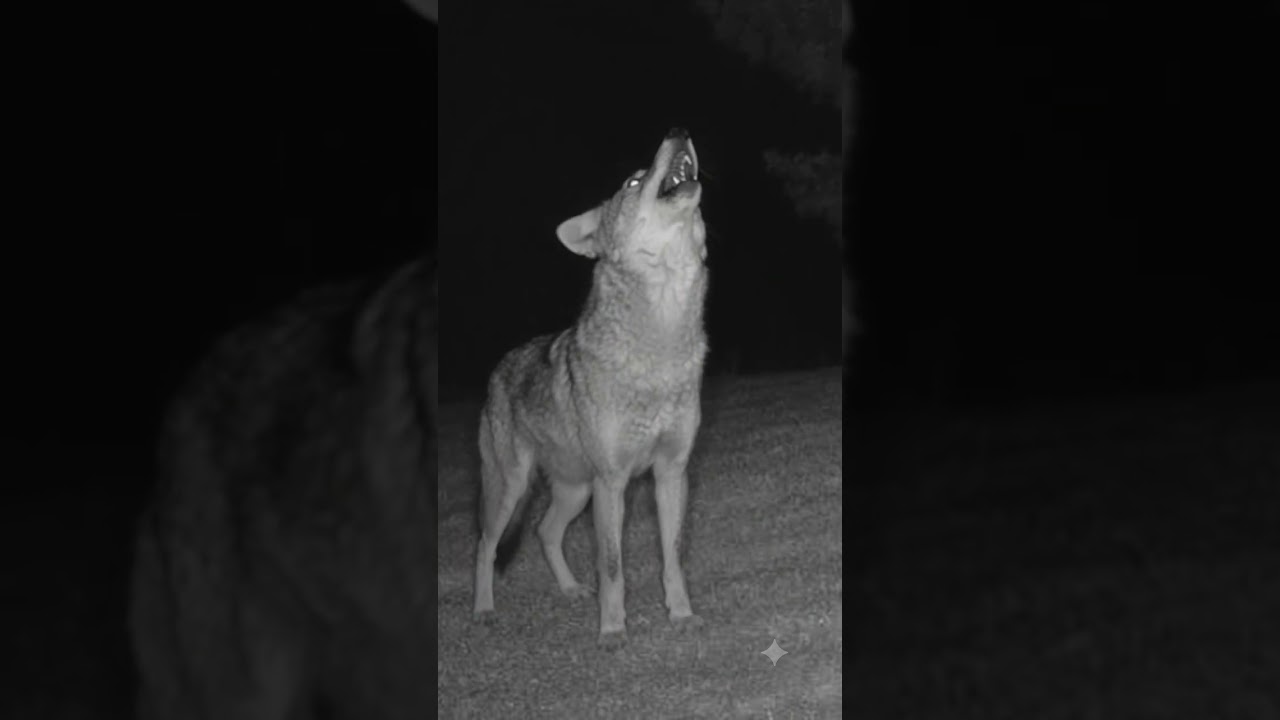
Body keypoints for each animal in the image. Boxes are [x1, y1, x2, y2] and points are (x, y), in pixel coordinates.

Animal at [473, 128, 708, 649]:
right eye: (633, 181)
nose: (678, 131)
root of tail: (500, 365)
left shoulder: (671, 473)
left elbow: (674, 556)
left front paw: (681, 615)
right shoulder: (613, 481)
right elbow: (612, 565)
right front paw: (613, 630)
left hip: (575, 490)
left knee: (544, 532)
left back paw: (569, 589)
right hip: (514, 488)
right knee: (484, 545)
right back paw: (482, 609)